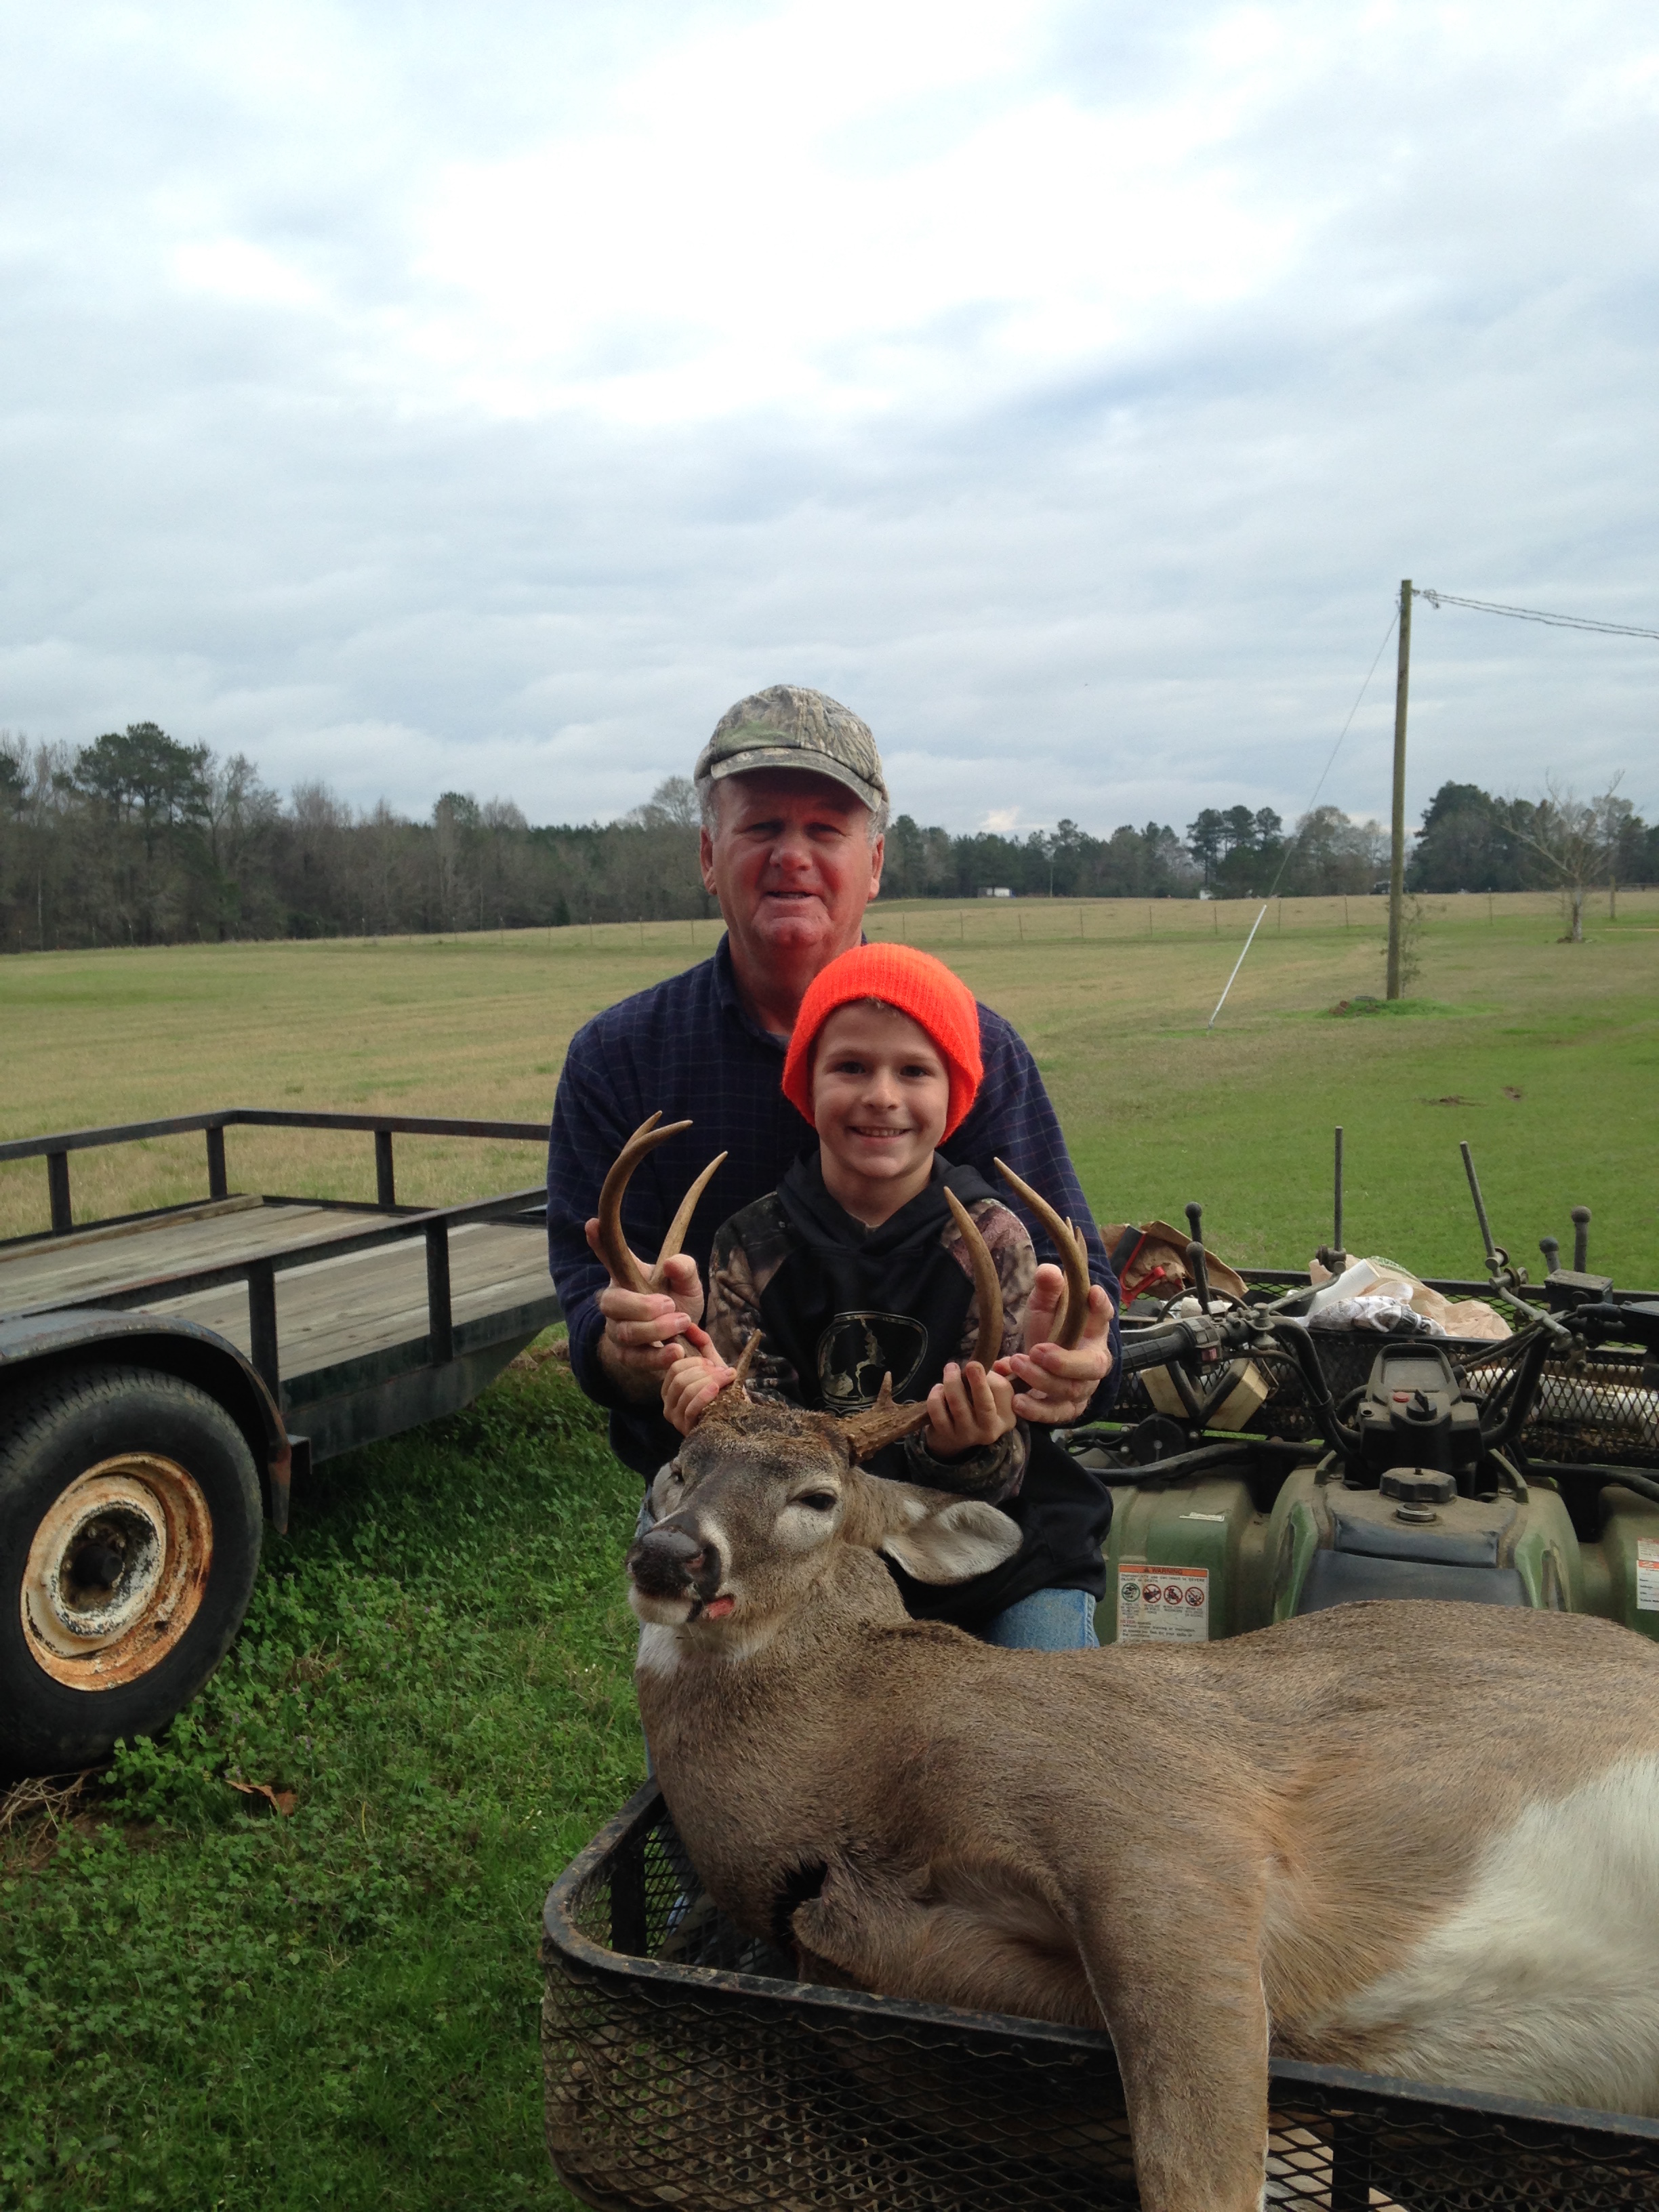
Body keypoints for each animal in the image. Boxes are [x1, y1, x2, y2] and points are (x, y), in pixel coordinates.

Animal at [599, 1119, 1659, 2212]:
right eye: (677, 1470)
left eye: (816, 1496)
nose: (669, 1556)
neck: (854, 1782)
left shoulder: (1160, 1825)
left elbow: (1192, 2173)